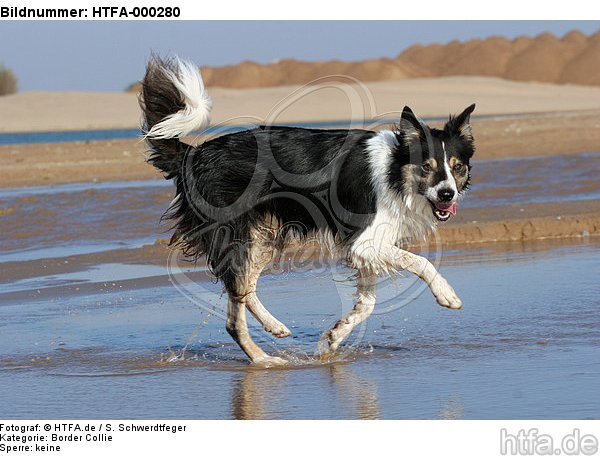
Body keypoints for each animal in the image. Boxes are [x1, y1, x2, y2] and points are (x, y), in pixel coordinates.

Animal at [138, 57, 476, 366]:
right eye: (427, 167)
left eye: (457, 167)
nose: (447, 194)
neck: (395, 168)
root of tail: (193, 153)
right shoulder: (364, 241)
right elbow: (420, 262)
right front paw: (447, 295)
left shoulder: (366, 248)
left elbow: (367, 304)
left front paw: (332, 338)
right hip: (235, 234)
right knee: (234, 317)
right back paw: (264, 360)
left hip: (264, 238)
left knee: (245, 290)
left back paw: (274, 327)